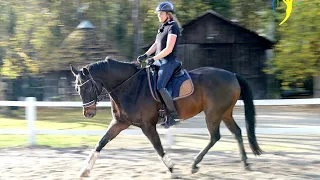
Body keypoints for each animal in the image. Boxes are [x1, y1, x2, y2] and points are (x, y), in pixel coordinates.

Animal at [69, 57, 262, 177]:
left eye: (86, 87)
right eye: (77, 88)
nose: (88, 113)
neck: (129, 86)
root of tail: (232, 75)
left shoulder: (147, 126)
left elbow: (158, 147)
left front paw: (172, 168)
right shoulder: (120, 122)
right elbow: (101, 142)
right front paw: (84, 170)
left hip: (213, 114)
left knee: (215, 136)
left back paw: (194, 164)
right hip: (225, 113)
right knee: (237, 132)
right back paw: (245, 163)